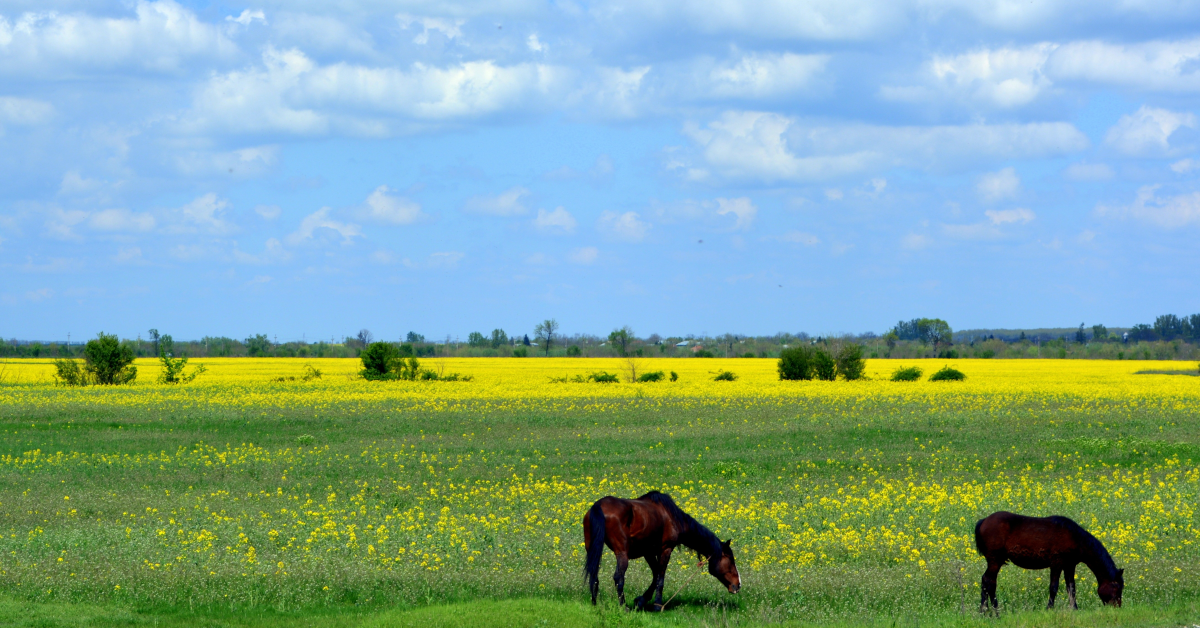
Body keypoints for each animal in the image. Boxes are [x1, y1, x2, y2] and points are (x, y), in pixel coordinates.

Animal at [583, 492, 739, 609]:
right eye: (730, 560)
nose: (738, 585)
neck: (672, 517)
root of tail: (599, 505)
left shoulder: (649, 552)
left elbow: (656, 575)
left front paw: (641, 600)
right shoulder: (665, 549)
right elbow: (660, 577)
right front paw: (657, 605)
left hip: (592, 549)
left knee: (594, 574)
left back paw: (595, 603)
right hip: (622, 554)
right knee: (618, 577)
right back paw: (623, 607)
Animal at [974, 513, 1123, 612]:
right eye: (1117, 588)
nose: (1117, 607)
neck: (1075, 537)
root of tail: (983, 521)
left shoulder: (1069, 565)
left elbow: (1071, 588)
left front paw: (1074, 608)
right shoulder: (1056, 563)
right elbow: (1054, 587)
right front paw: (1049, 608)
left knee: (986, 581)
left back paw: (985, 610)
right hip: (995, 560)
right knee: (989, 581)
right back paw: (992, 610)